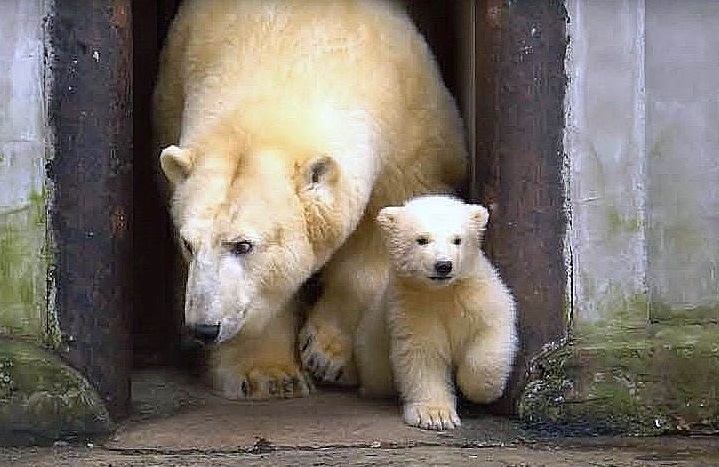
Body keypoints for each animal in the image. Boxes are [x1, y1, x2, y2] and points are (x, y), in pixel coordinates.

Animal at [153, 0, 466, 398]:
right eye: (187, 243)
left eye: (243, 245)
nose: (203, 328)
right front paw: (270, 375)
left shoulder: (412, 134)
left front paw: (326, 356)